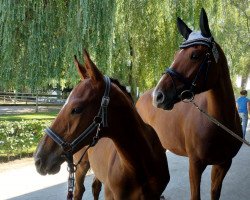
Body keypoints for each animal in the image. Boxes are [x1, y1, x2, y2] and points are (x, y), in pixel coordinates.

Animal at [33, 49, 170, 199]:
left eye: (76, 109)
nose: (39, 159)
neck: (140, 164)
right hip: (81, 167)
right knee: (79, 191)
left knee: (95, 187)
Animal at [136, 8, 243, 200]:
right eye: (175, 55)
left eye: (194, 55)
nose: (159, 96)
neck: (219, 122)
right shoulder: (195, 165)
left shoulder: (223, 164)